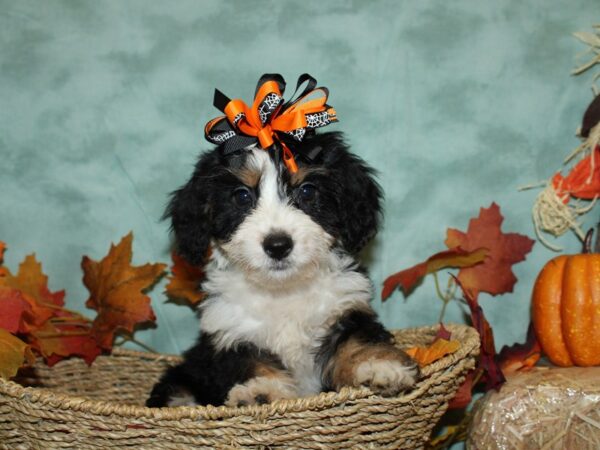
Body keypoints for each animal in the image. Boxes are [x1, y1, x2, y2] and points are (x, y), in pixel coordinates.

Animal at [146, 131, 420, 408]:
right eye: (242, 196)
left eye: (307, 191)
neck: (283, 290)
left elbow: (357, 340)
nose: (277, 246)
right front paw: (262, 391)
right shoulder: (228, 331)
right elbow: (249, 361)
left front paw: (378, 368)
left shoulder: (347, 306)